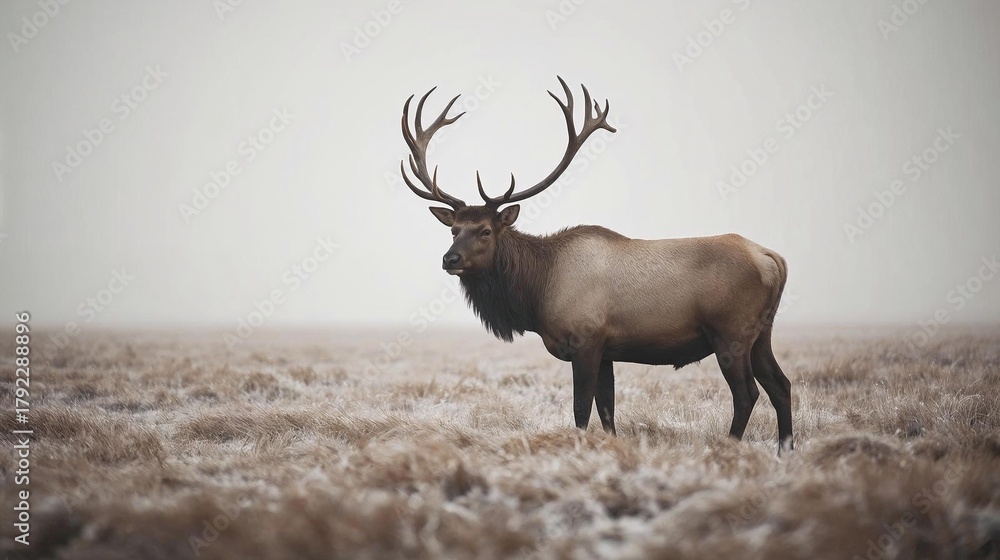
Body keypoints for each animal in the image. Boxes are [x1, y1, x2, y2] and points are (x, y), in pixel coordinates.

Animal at [399, 77, 794, 453]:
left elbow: (581, 410)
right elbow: (607, 412)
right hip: (762, 332)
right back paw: (784, 451)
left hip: (731, 332)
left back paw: (731, 446)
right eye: (453, 229)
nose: (450, 259)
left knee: (747, 394)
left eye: (484, 231)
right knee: (781, 385)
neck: (537, 293)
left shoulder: (586, 340)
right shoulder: (607, 350)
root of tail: (774, 260)